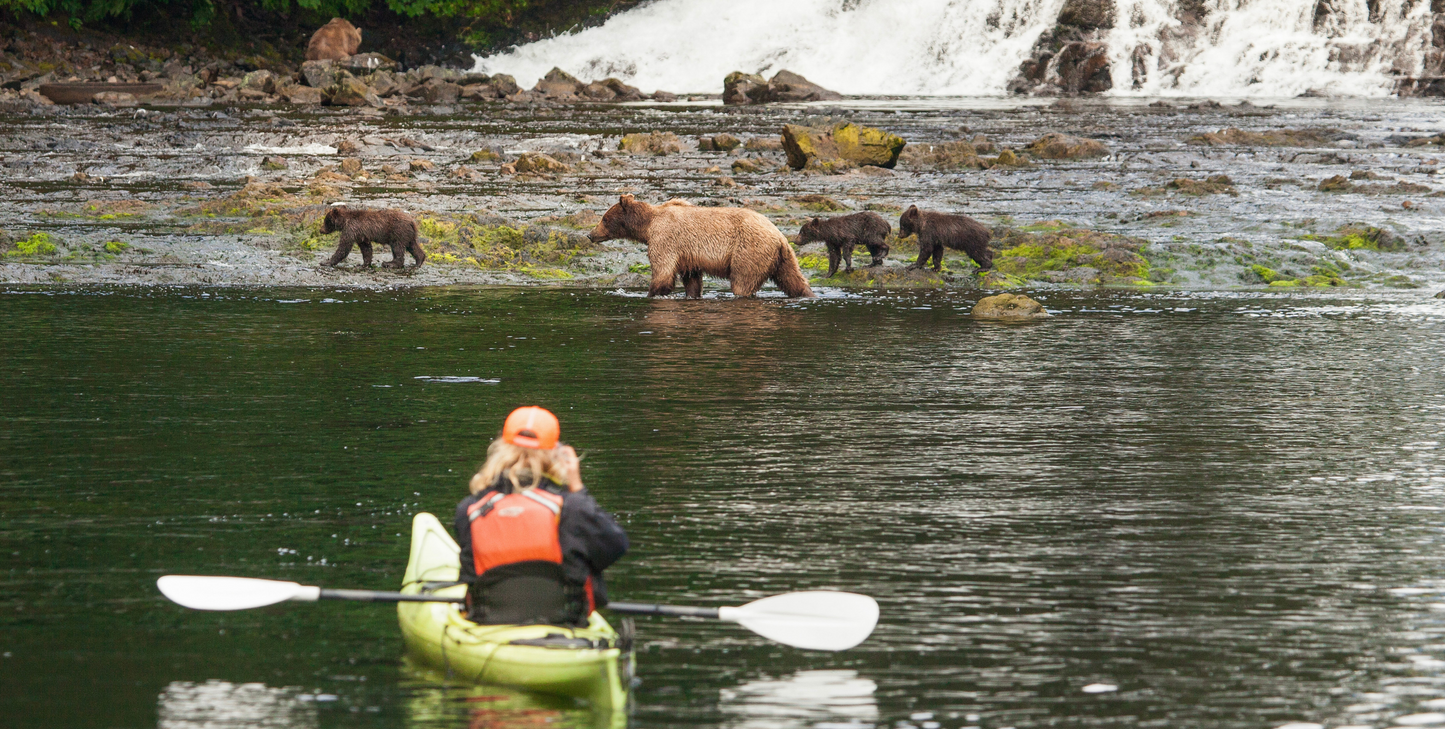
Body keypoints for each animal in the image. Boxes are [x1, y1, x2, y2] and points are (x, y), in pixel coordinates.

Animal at [586, 193, 814, 299]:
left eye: (604, 219)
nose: (590, 235)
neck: (647, 225)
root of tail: (779, 236)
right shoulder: (688, 256)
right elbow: (692, 280)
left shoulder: (665, 239)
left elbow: (662, 272)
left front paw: (649, 293)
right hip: (783, 257)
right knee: (793, 280)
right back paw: (807, 294)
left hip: (750, 251)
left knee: (742, 282)